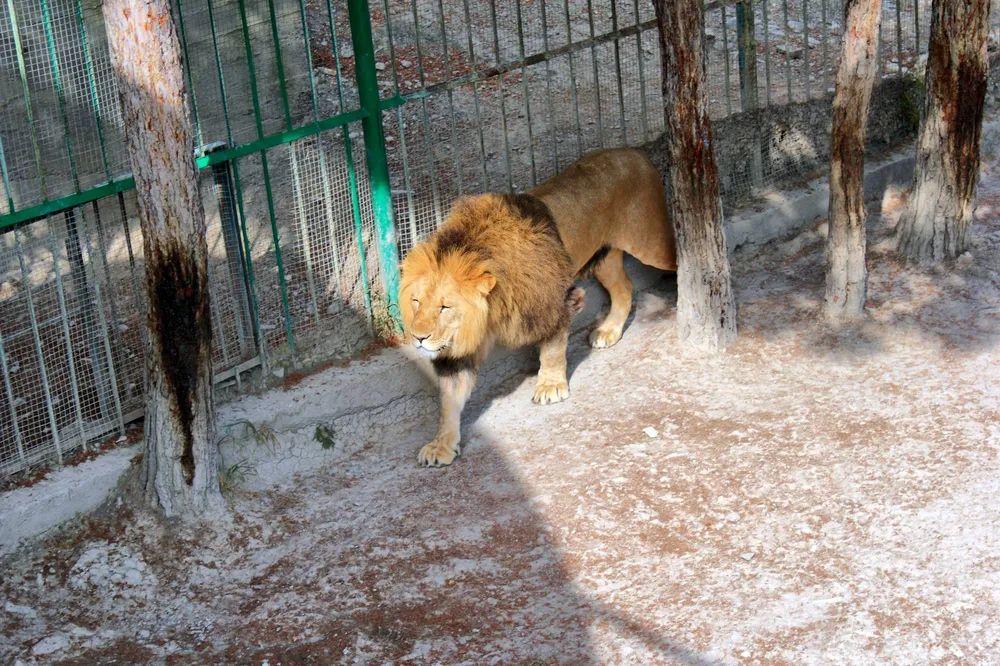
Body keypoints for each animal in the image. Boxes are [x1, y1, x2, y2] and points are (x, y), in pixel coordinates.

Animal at [399, 147, 677, 467]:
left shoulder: (556, 303)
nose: (418, 338)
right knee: (625, 288)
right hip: (603, 256)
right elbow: (449, 399)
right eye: (416, 301)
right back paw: (609, 331)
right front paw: (441, 445)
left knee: (681, 259)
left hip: (652, 243)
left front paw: (550, 386)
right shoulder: (458, 348)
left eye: (445, 307)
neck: (491, 308)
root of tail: (633, 151)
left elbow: (553, 350)